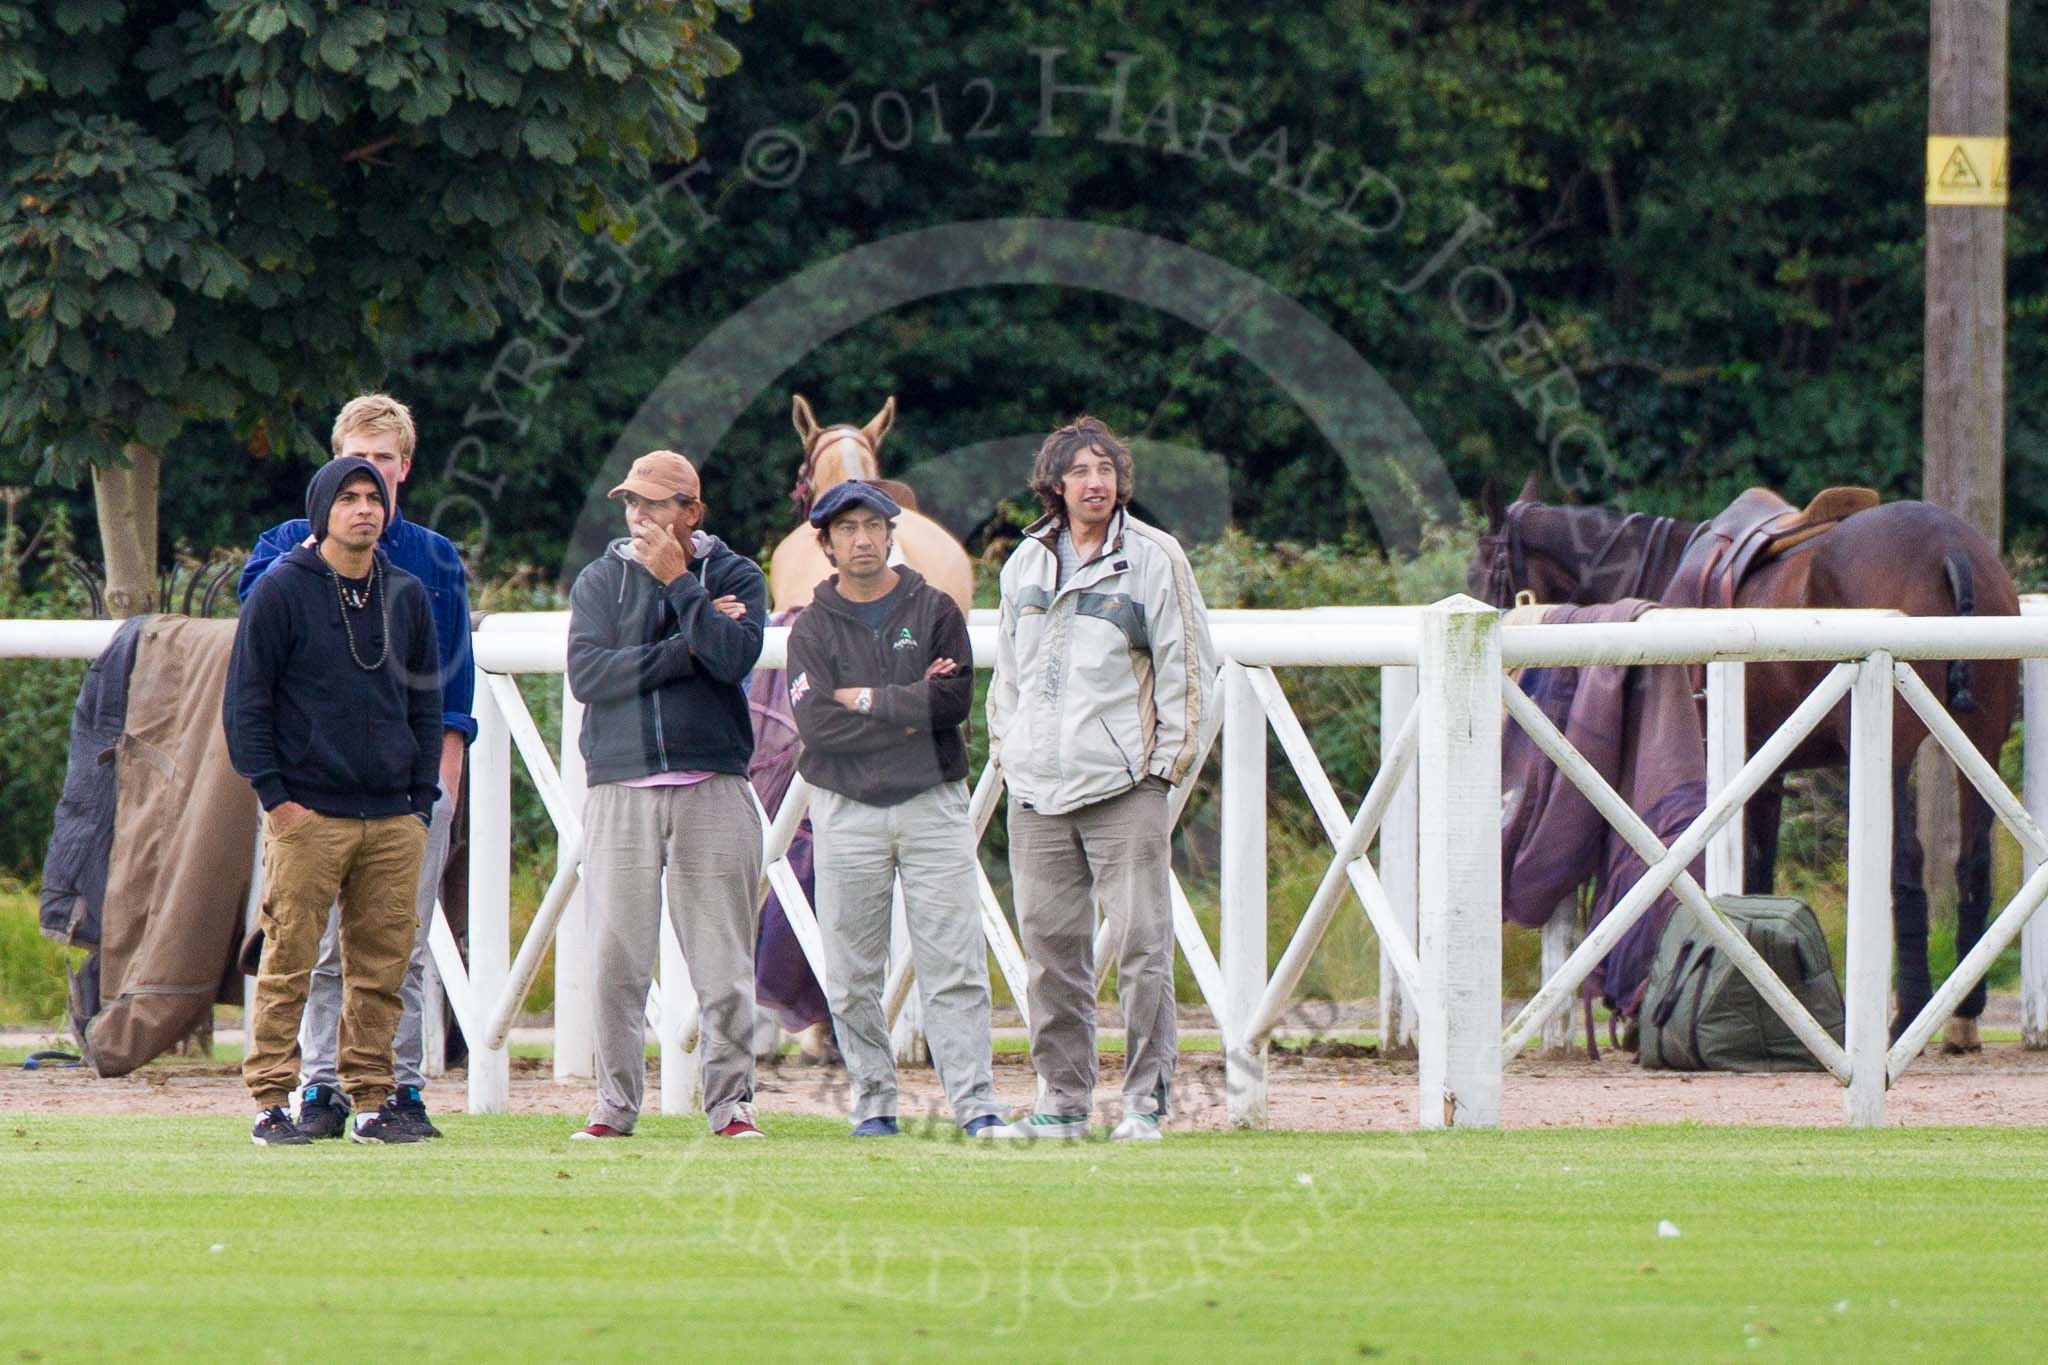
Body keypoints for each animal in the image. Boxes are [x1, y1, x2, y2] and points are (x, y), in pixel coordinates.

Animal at [1466, 474, 2023, 1055]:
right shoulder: (1769, 767)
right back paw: (1963, 1014)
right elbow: (1759, 867)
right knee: (1973, 864)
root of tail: (1950, 546)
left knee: (1908, 864)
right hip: (1979, 745)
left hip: (1894, 747)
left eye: (1481, 568)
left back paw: (1909, 1012)